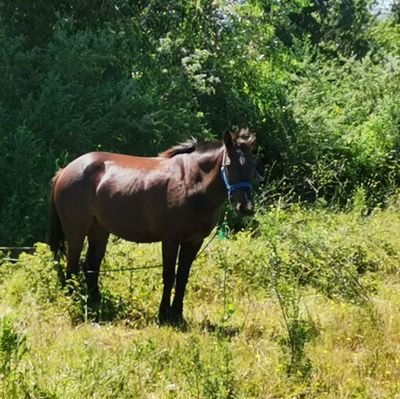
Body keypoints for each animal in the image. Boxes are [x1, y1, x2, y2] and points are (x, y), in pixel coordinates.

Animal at [48, 128, 256, 324]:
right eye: (229, 165)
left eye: (252, 167)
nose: (246, 207)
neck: (191, 182)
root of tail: (65, 170)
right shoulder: (171, 239)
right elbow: (169, 275)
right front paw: (163, 314)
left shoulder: (194, 241)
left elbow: (182, 277)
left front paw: (177, 315)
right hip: (76, 230)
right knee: (72, 266)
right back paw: (74, 302)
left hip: (99, 230)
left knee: (91, 265)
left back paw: (95, 303)